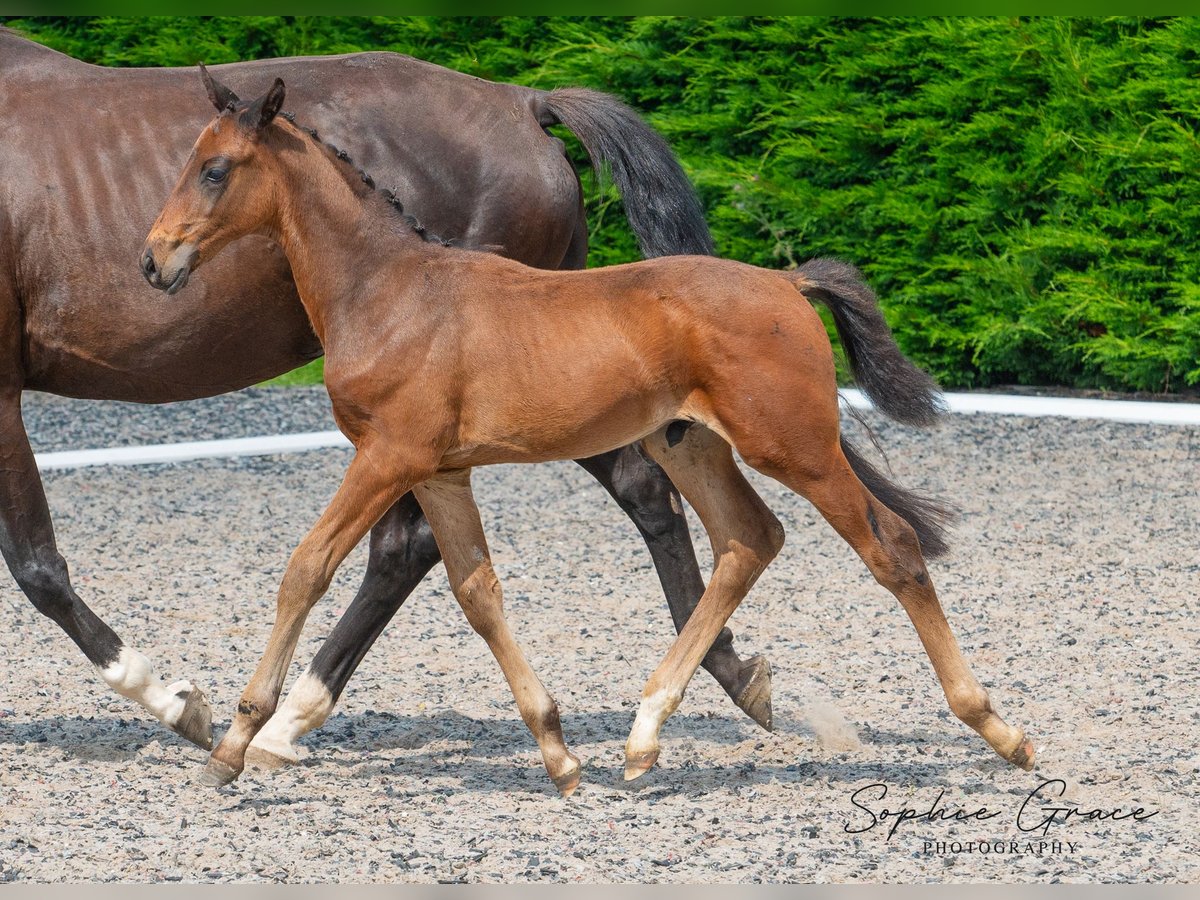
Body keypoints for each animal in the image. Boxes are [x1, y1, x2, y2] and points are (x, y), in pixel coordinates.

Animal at [145, 77, 1036, 796]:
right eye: (190, 160)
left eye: (216, 169)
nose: (155, 261)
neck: (388, 290)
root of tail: (788, 283)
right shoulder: (438, 471)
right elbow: (478, 593)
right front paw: (558, 753)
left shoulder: (388, 456)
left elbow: (306, 569)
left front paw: (234, 744)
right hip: (690, 444)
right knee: (749, 539)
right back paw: (643, 738)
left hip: (796, 448)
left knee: (891, 548)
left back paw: (1001, 731)